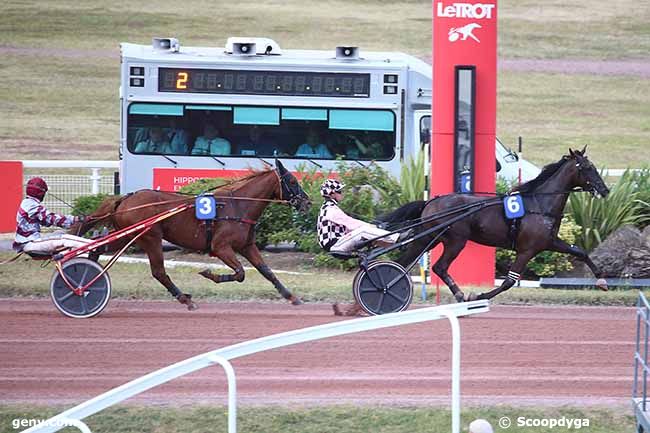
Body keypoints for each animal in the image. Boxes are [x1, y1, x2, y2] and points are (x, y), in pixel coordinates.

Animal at [72, 160, 310, 308]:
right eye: (292, 181)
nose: (307, 202)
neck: (239, 206)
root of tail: (125, 199)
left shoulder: (247, 246)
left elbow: (267, 271)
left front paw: (291, 297)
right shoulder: (220, 247)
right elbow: (240, 273)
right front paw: (209, 274)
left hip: (129, 236)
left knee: (97, 247)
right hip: (149, 237)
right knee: (159, 271)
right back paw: (184, 299)